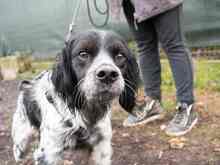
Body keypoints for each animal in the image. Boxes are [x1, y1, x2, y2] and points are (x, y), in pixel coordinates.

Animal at [11, 30, 139, 165]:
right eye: (83, 54)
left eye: (120, 55)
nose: (108, 74)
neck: (87, 112)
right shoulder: (48, 153)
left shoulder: (102, 146)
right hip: (22, 140)